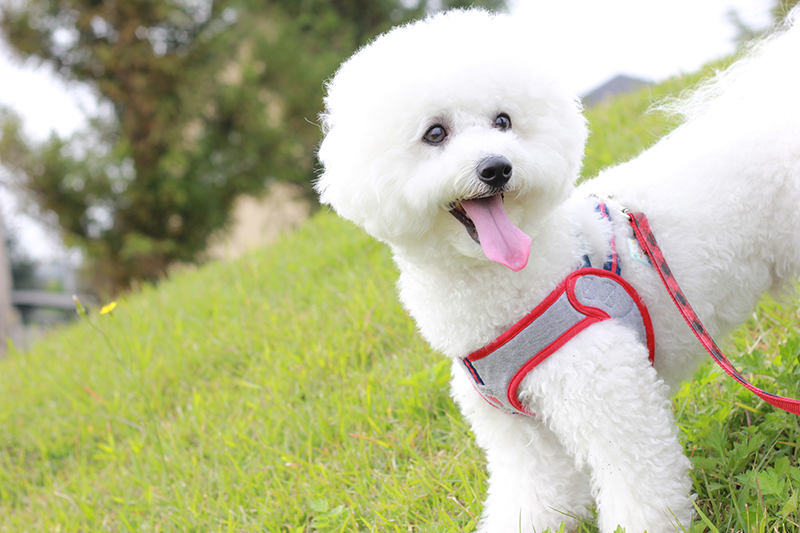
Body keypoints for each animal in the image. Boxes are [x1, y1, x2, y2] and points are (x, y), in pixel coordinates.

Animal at [312, 8, 800, 532]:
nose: (496, 168)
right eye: (435, 133)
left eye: (503, 121)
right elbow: (534, 496)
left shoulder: (609, 388)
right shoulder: (520, 436)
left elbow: (638, 485)